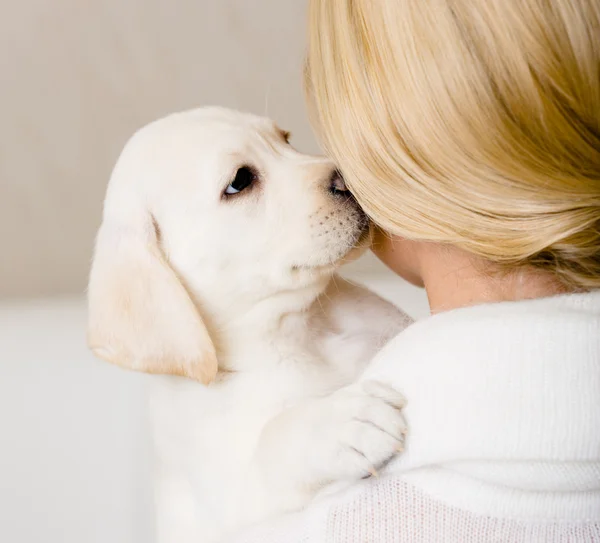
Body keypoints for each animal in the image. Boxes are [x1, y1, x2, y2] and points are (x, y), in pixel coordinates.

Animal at [88, 107, 412, 543]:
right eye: (240, 181)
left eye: (286, 140)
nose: (349, 177)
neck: (300, 331)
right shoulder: (229, 508)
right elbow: (272, 442)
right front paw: (343, 422)